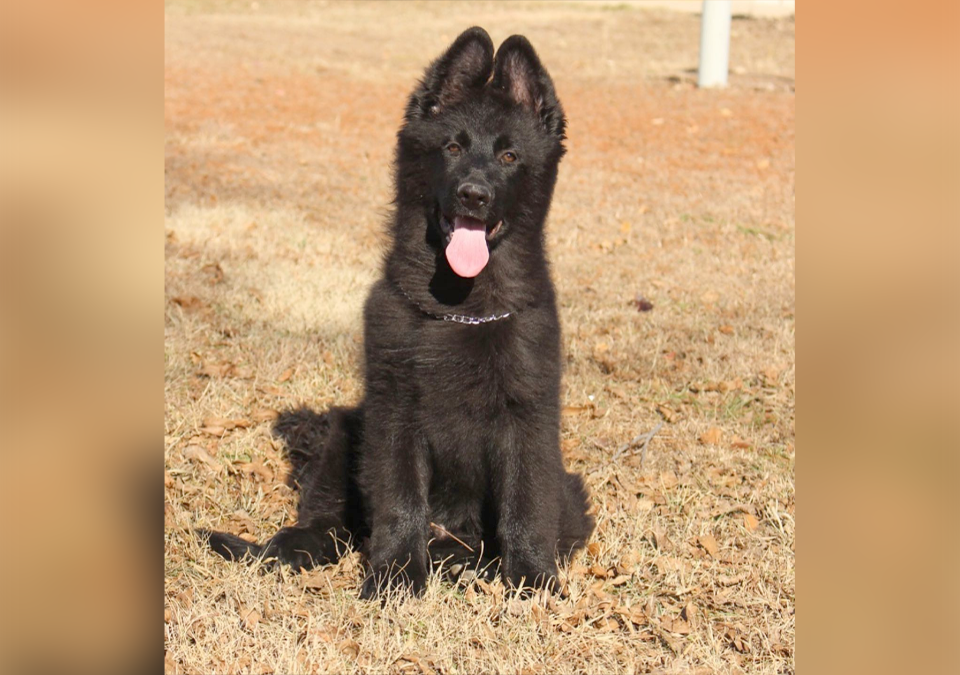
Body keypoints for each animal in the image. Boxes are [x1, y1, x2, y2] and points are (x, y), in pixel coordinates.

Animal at [202, 26, 592, 600]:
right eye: (452, 148)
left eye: (509, 156)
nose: (473, 196)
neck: (460, 308)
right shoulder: (393, 414)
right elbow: (400, 498)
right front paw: (397, 577)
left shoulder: (528, 417)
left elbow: (525, 503)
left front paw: (532, 579)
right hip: (348, 429)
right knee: (329, 520)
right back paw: (301, 546)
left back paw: (461, 560)